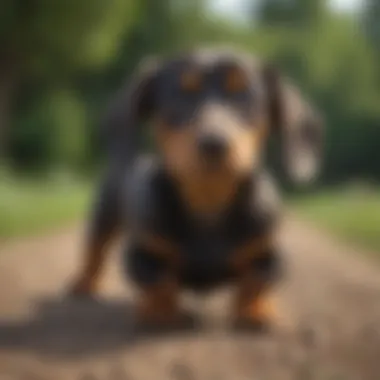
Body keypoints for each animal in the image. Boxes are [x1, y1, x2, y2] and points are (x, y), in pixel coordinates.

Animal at [69, 46, 324, 326]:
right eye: (181, 95)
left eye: (243, 95)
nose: (214, 144)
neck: (208, 201)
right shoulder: (142, 253)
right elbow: (160, 281)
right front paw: (160, 312)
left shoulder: (267, 252)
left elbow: (256, 280)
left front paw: (255, 311)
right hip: (104, 214)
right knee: (94, 252)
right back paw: (82, 284)